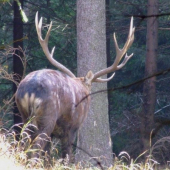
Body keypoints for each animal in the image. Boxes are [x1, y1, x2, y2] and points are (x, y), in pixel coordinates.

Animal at [15, 12, 135, 161]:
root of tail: (30, 90)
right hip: (47, 117)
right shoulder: (72, 127)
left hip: (24, 115)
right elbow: (66, 156)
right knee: (36, 147)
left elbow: (48, 156)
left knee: (22, 144)